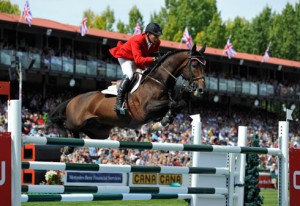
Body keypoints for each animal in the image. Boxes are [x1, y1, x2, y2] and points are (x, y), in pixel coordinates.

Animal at [48, 44, 206, 142]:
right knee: (66, 124)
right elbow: (173, 103)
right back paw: (66, 143)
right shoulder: (146, 109)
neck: (157, 81)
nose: (201, 90)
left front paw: (162, 122)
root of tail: (73, 99)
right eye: (194, 65)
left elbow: (179, 103)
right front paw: (164, 121)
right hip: (76, 121)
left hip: (99, 131)